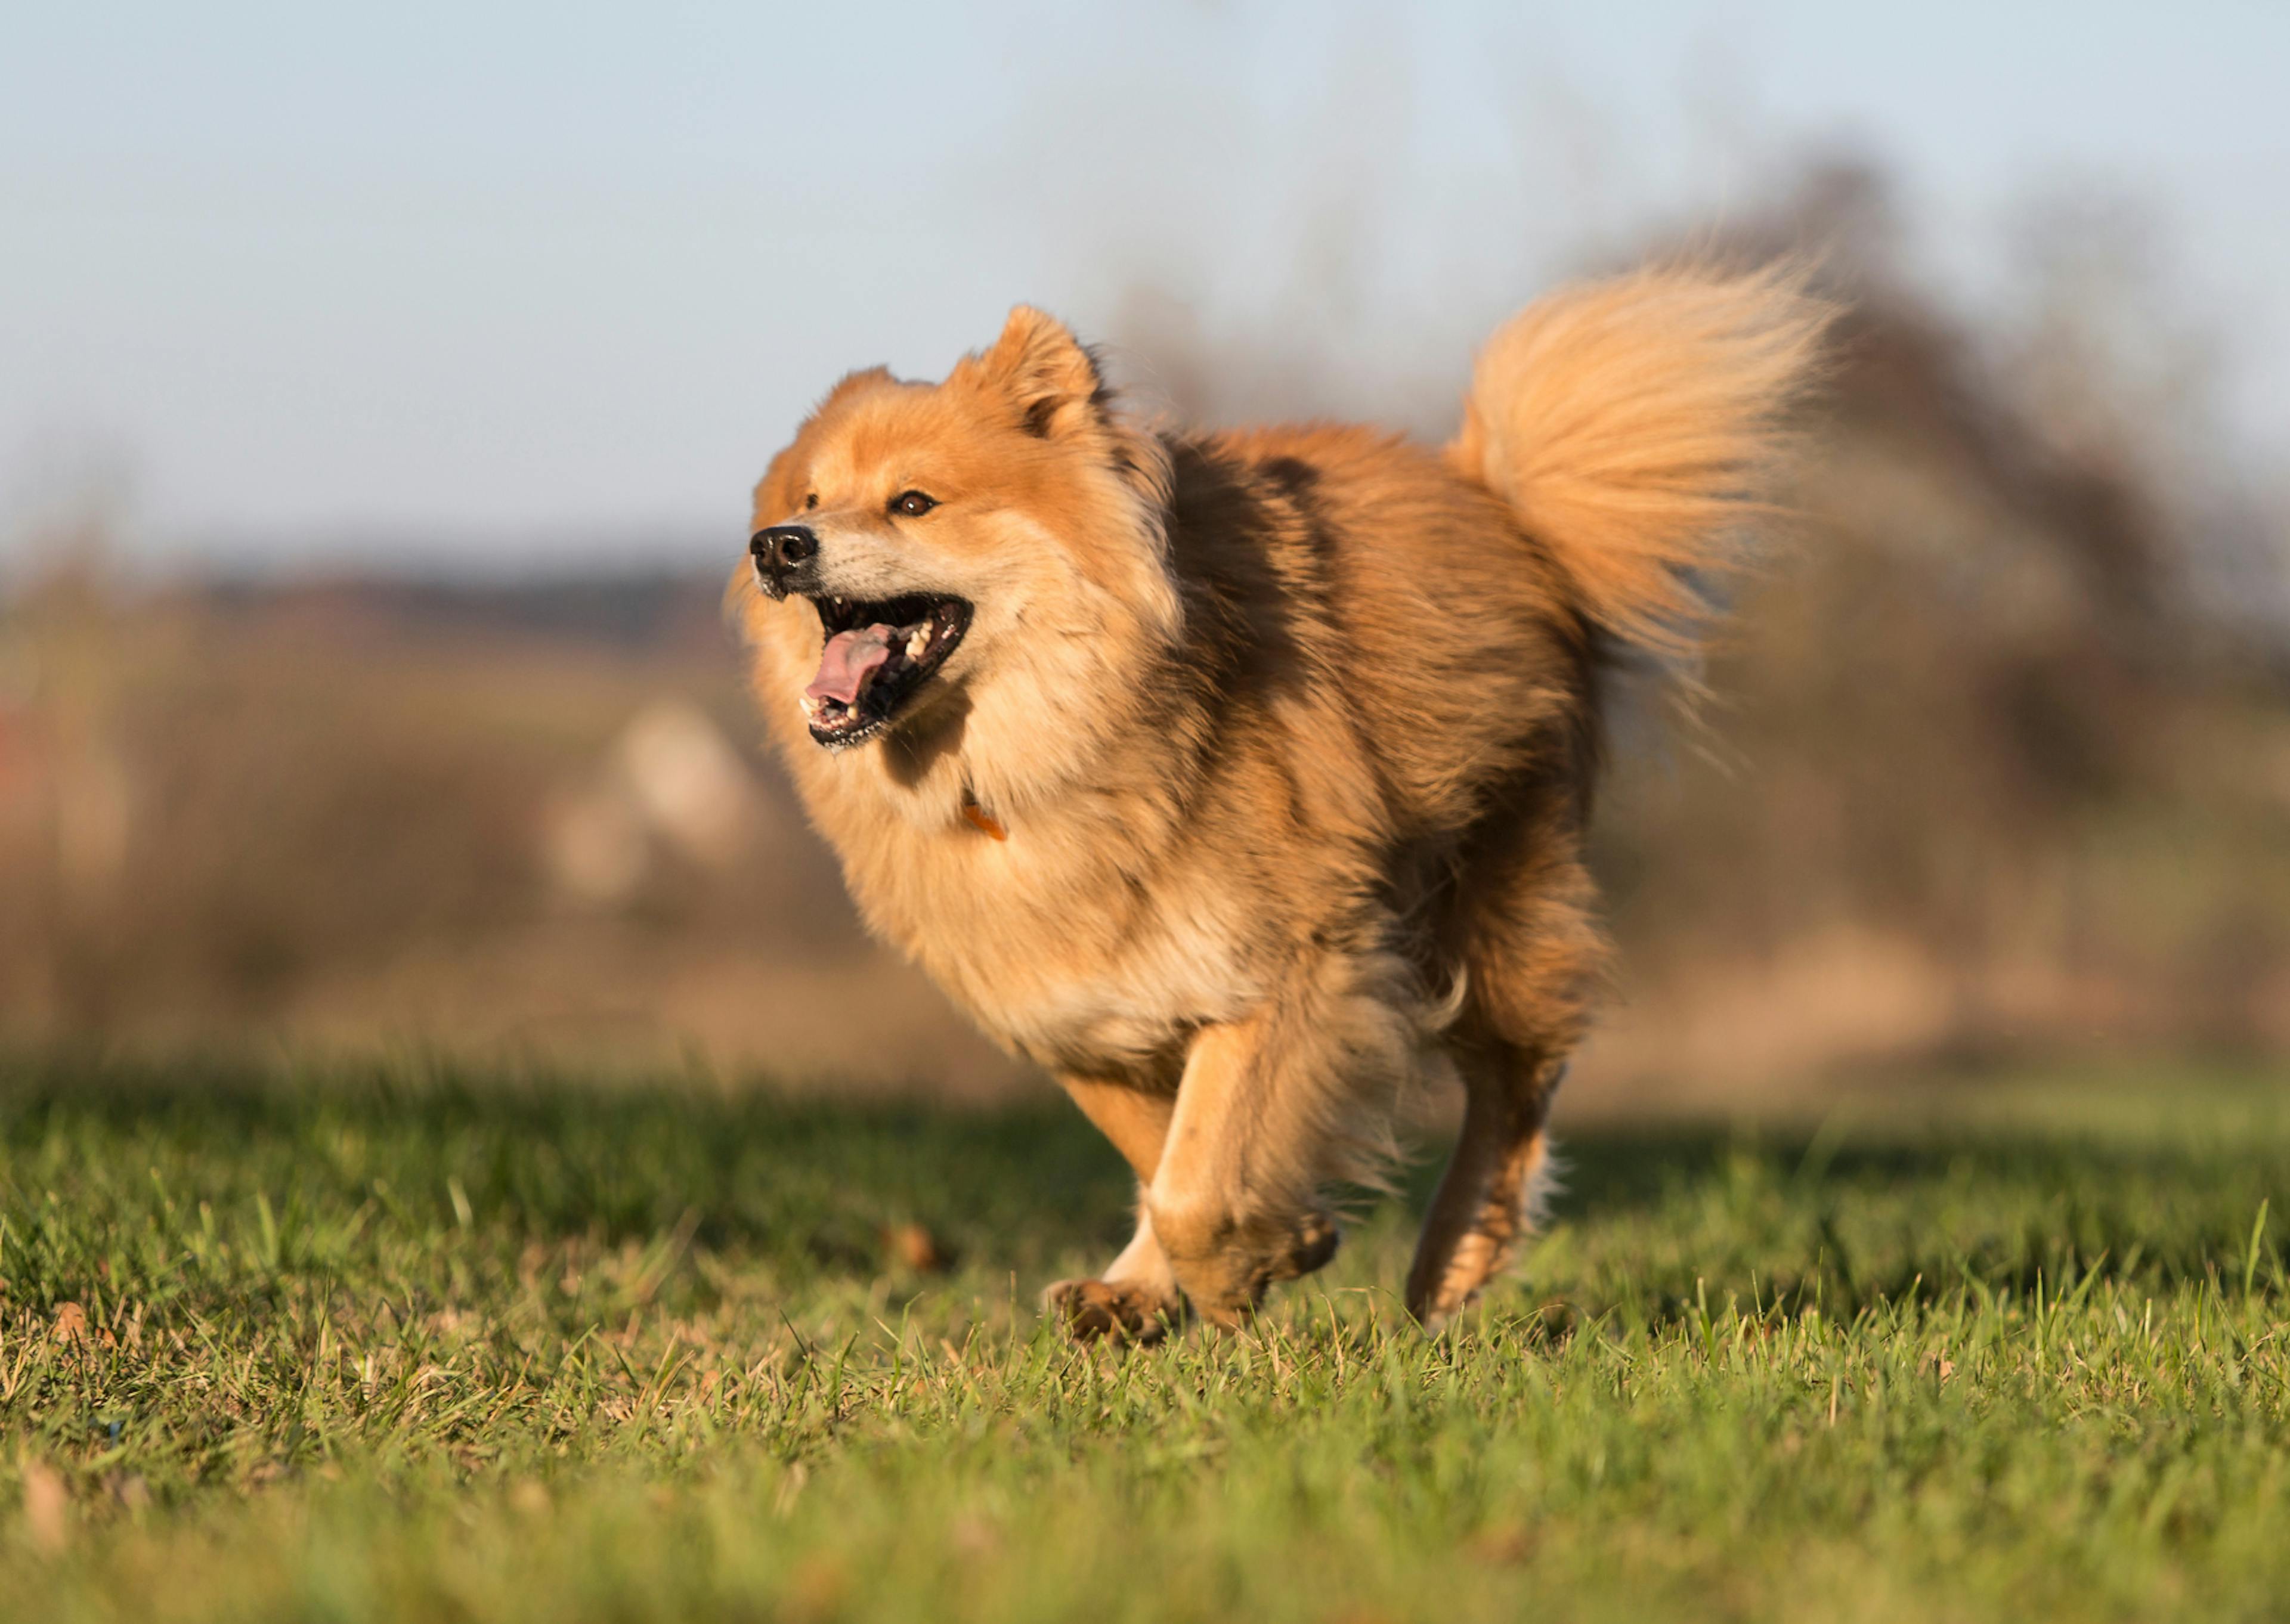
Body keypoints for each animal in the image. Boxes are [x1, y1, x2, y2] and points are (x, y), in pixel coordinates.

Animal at [742, 263, 1832, 1328]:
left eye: (913, 504)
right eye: (812, 496)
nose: (778, 545)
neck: (1037, 749)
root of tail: (1492, 497)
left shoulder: (1291, 961)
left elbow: (1198, 1170)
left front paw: (1244, 1268)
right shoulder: (1070, 995)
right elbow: (1162, 1148)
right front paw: (1222, 1258)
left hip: (1493, 897)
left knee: (1516, 1079)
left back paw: (1454, 1258)